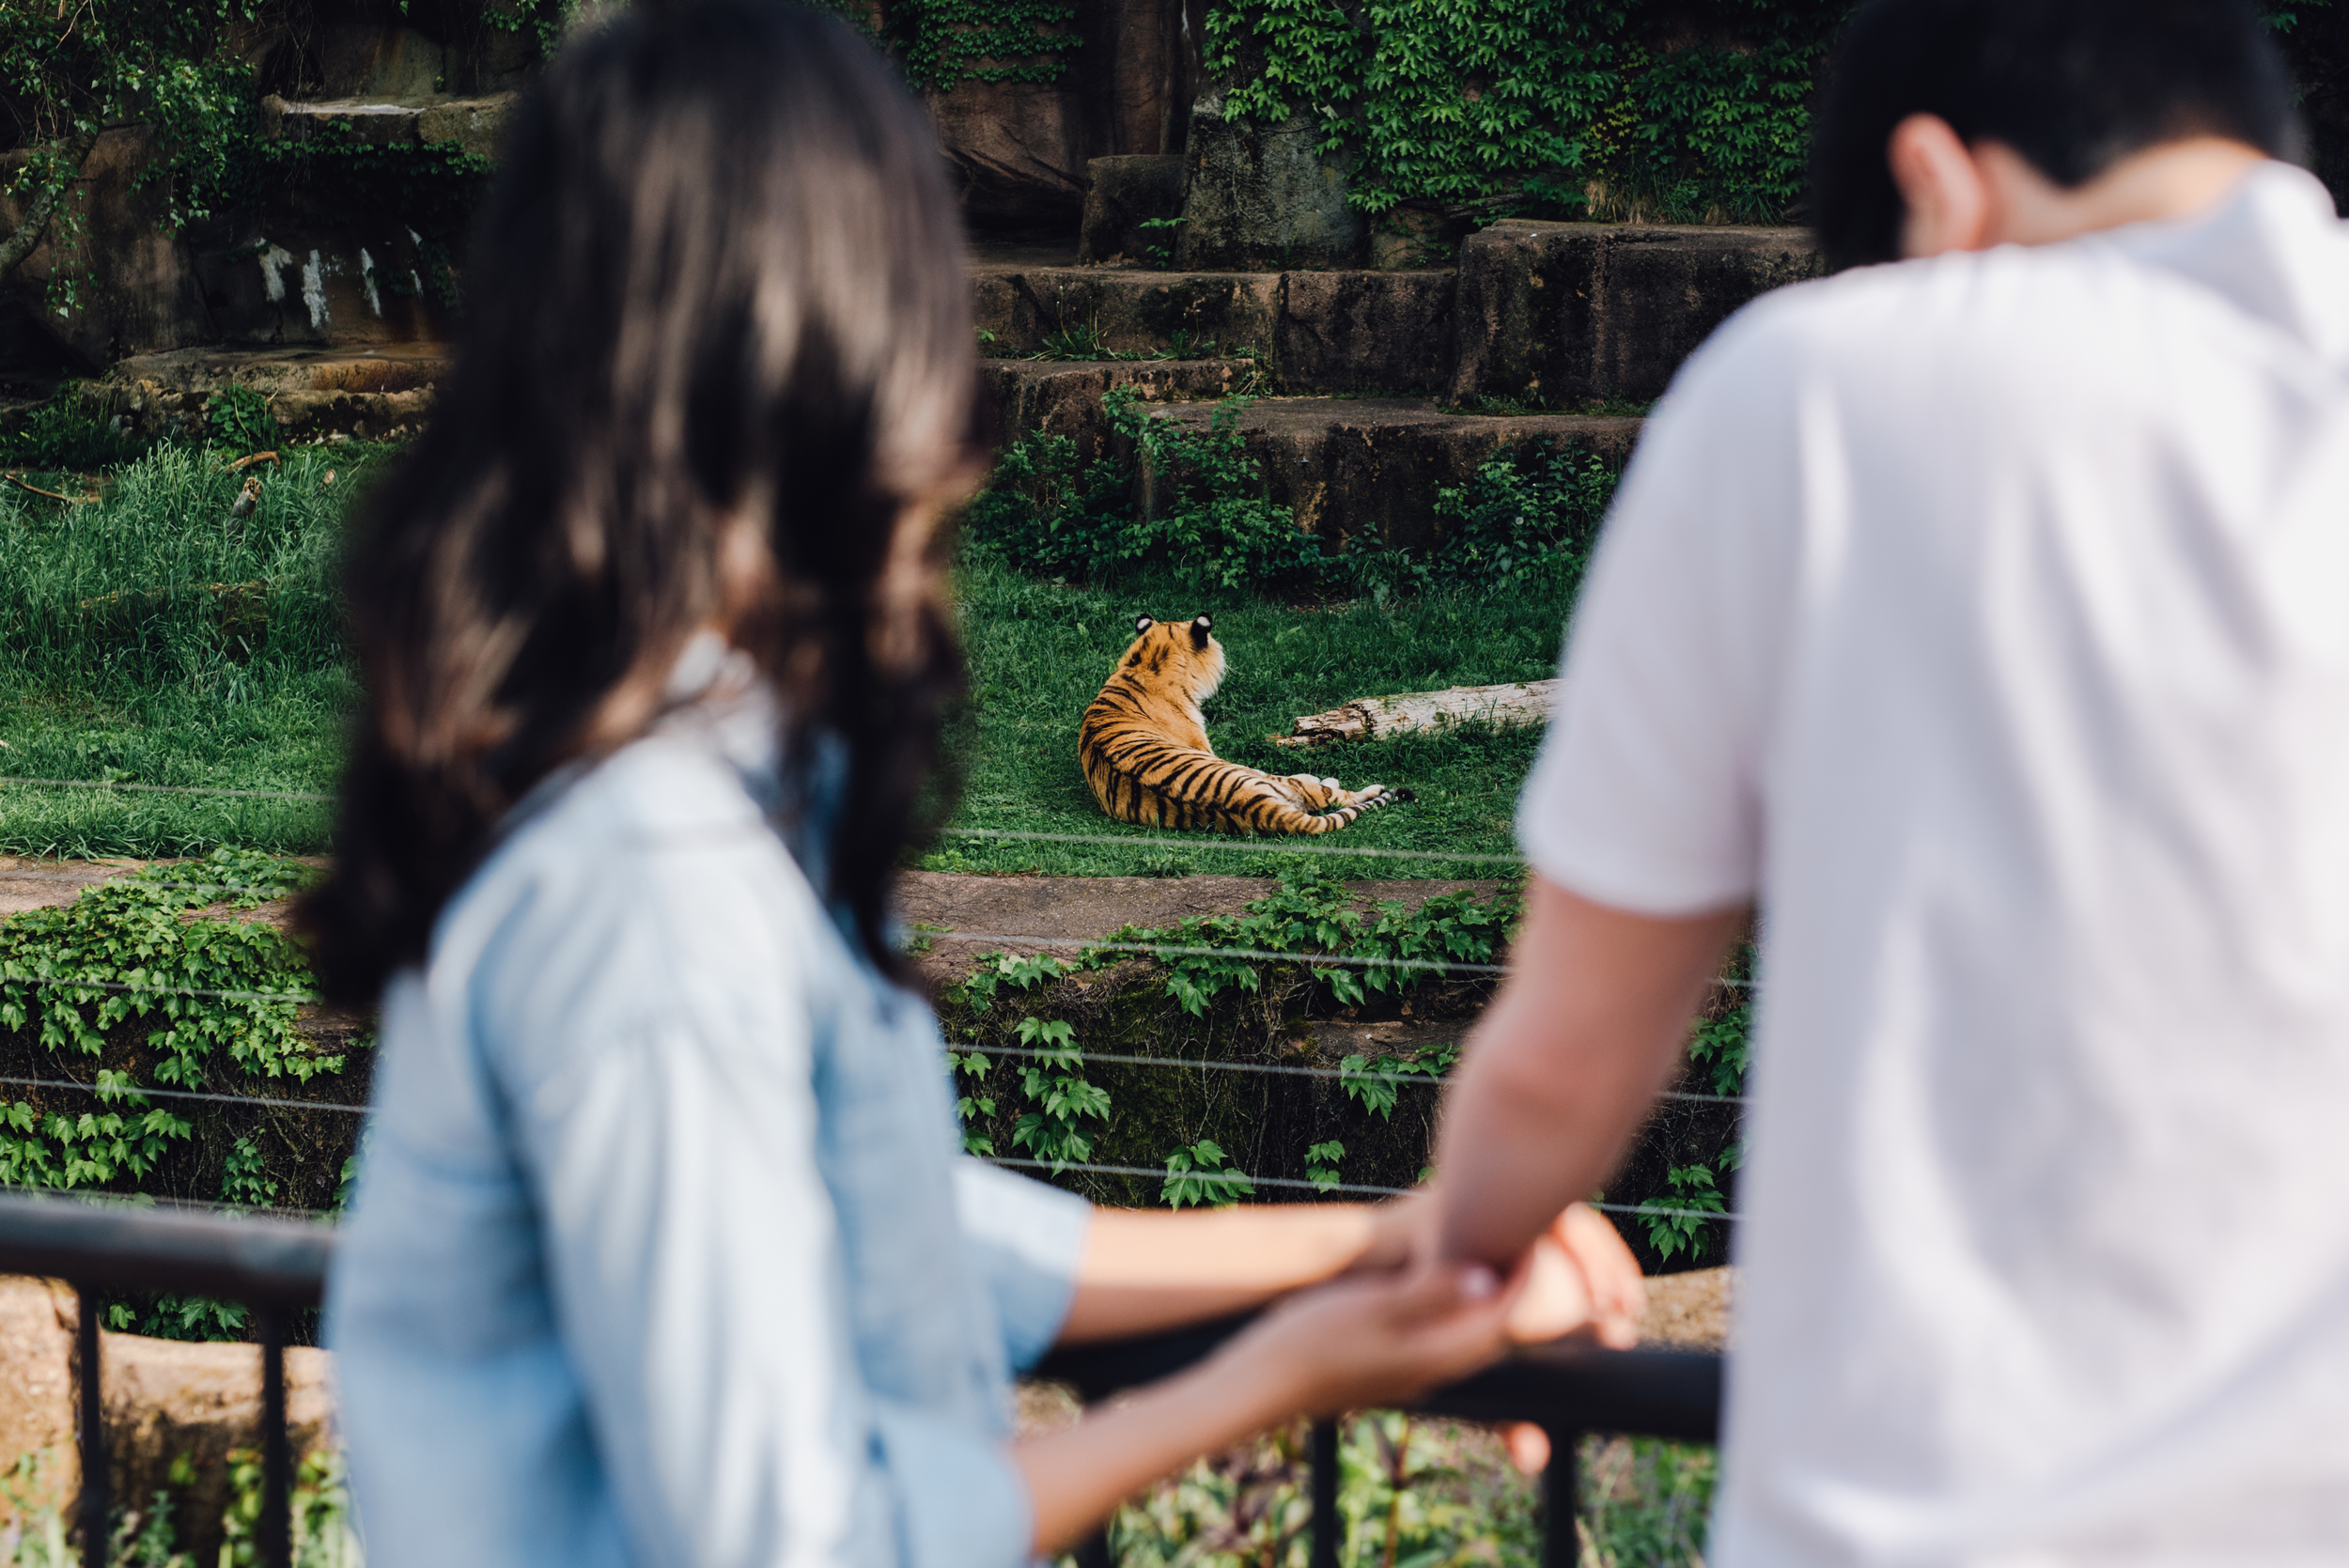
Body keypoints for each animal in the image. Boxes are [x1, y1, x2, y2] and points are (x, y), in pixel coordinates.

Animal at [1081, 610, 1409, 831]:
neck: (1145, 663)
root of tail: (1257, 806)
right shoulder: (1206, 747)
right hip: (1259, 777)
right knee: (1326, 795)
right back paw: (1346, 783)